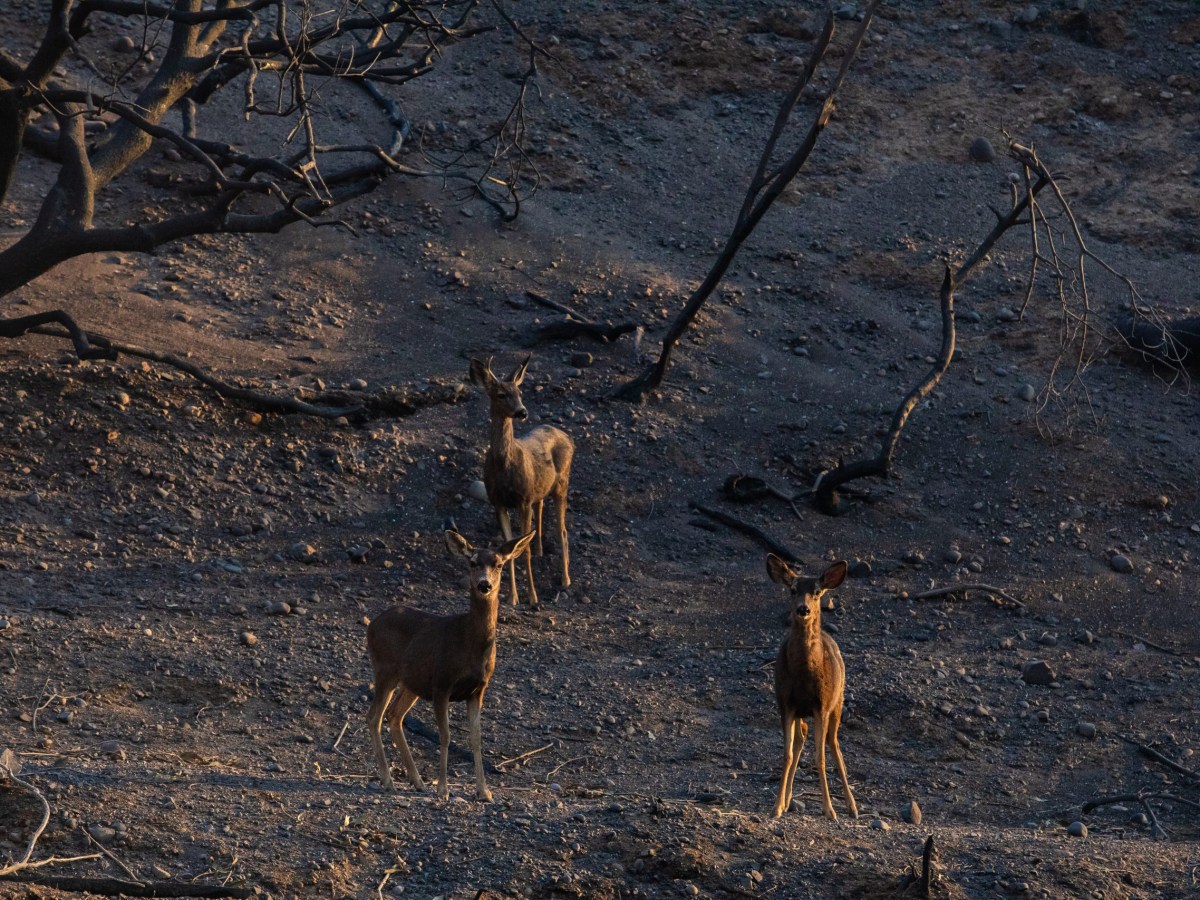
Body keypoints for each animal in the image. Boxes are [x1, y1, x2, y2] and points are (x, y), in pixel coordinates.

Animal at [364, 528, 535, 801]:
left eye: (499, 564)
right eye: (472, 562)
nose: (484, 584)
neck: (470, 645)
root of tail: (372, 624)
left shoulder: (478, 689)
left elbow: (476, 739)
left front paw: (484, 791)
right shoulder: (442, 683)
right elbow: (445, 736)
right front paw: (443, 789)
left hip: (412, 682)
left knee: (394, 715)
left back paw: (417, 781)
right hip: (385, 670)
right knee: (374, 717)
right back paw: (389, 780)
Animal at [465, 355, 573, 609]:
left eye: (520, 392)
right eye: (501, 394)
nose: (522, 412)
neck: (505, 464)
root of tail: (567, 437)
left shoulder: (523, 500)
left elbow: (521, 551)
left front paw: (533, 597)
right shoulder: (498, 503)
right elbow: (508, 547)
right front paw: (512, 597)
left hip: (562, 484)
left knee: (563, 529)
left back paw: (565, 580)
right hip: (541, 489)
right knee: (541, 508)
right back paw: (541, 549)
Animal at [772, 554, 859, 820]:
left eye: (818, 592)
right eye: (792, 590)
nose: (803, 609)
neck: (804, 676)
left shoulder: (821, 705)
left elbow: (820, 757)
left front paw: (829, 809)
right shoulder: (785, 704)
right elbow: (787, 754)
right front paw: (776, 806)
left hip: (837, 702)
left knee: (834, 743)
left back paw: (852, 806)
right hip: (803, 712)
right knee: (802, 737)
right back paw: (787, 800)